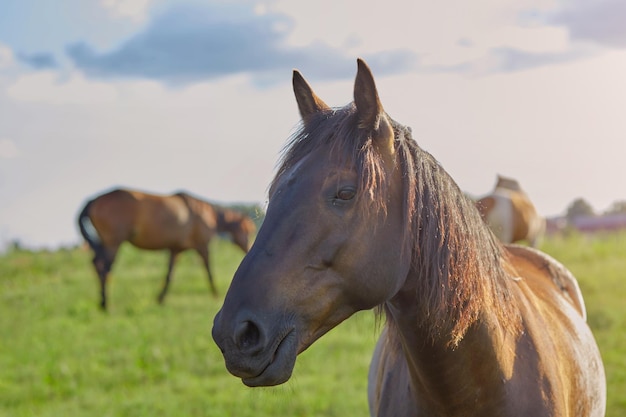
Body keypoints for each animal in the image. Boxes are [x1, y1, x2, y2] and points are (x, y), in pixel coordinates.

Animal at [77, 188, 255, 308]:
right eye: (247, 231)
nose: (248, 249)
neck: (207, 215)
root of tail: (93, 200)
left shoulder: (175, 250)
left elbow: (169, 275)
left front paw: (160, 299)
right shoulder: (203, 247)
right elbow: (209, 272)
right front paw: (216, 295)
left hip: (104, 242)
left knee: (97, 264)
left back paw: (102, 302)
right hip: (113, 243)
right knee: (104, 268)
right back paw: (106, 304)